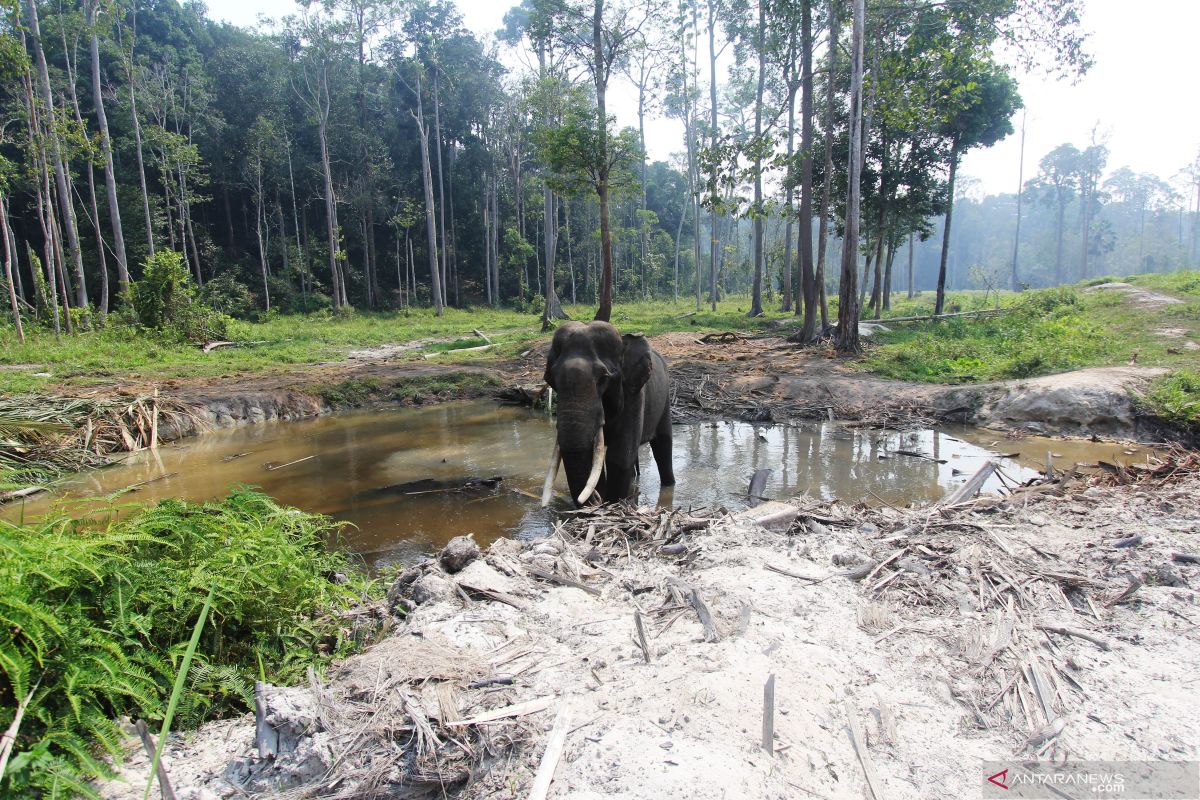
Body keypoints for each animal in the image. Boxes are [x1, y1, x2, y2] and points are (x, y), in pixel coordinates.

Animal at [540, 319, 672, 506]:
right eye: (551, 379)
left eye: (603, 378)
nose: (597, 498)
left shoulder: (634, 394)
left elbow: (619, 456)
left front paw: (612, 503)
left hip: (665, 398)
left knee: (663, 446)